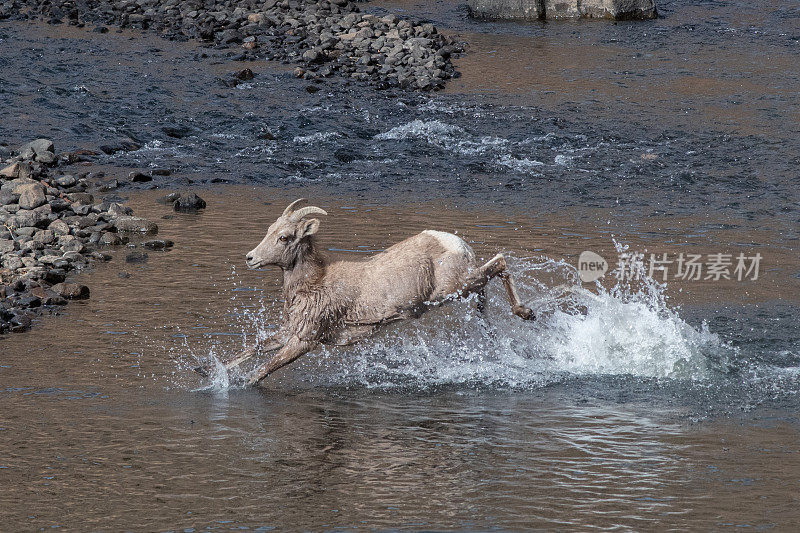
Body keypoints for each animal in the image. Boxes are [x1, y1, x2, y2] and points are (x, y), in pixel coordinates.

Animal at [197, 197, 536, 384]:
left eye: (284, 237)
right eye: (269, 230)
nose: (250, 258)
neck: (315, 283)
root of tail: (455, 244)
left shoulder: (305, 340)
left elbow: (263, 369)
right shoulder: (290, 331)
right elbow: (253, 349)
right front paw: (207, 371)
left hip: (452, 288)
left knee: (499, 263)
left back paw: (526, 313)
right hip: (460, 288)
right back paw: (492, 333)